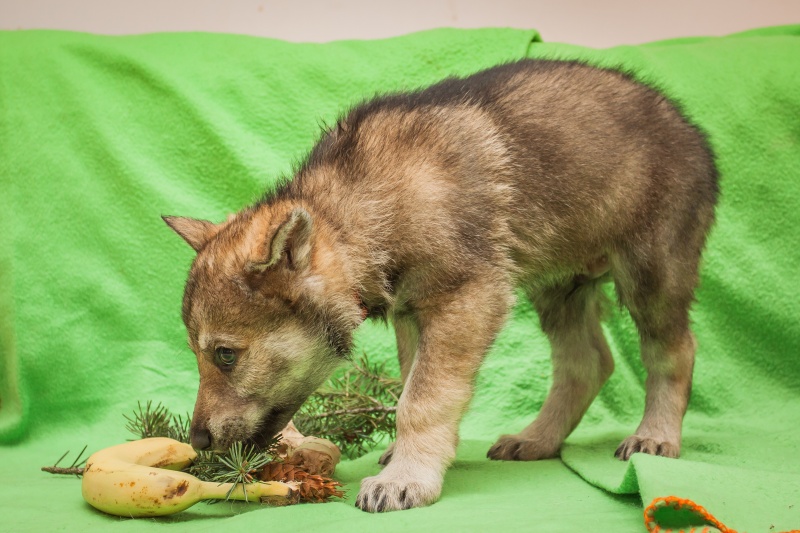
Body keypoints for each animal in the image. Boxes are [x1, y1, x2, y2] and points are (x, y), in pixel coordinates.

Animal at [164, 60, 720, 512]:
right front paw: (403, 458)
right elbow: (411, 386)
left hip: (651, 274)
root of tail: (692, 129)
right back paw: (538, 439)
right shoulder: (414, 315)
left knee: (674, 351)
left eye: (225, 355)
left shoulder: (465, 300)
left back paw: (654, 437)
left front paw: (407, 477)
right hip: (560, 286)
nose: (197, 441)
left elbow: (422, 398)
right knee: (588, 363)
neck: (365, 213)